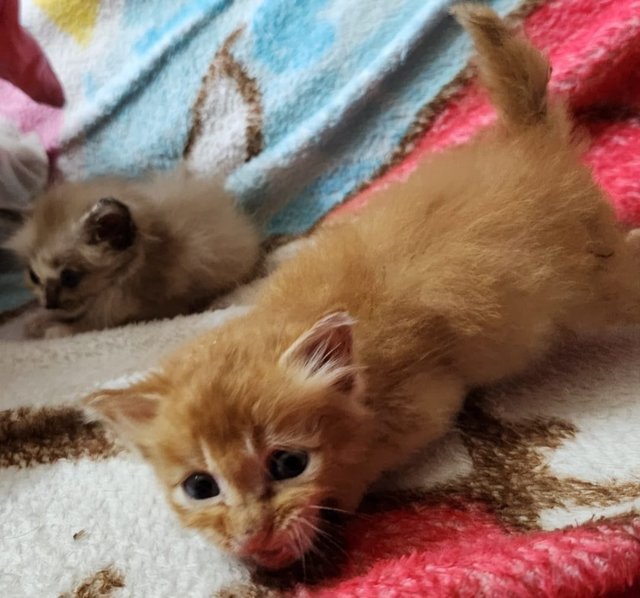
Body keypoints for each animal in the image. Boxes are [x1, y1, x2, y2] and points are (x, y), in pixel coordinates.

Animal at [4, 170, 260, 338]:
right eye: (33, 277)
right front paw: (39, 320)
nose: (48, 303)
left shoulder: (128, 309)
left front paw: (58, 328)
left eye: (70, 277)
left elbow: (88, 323)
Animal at [85, 7, 640, 576]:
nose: (251, 535)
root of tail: (526, 142)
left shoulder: (426, 403)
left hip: (596, 286)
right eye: (200, 486)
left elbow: (361, 472)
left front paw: (312, 526)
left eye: (288, 463)